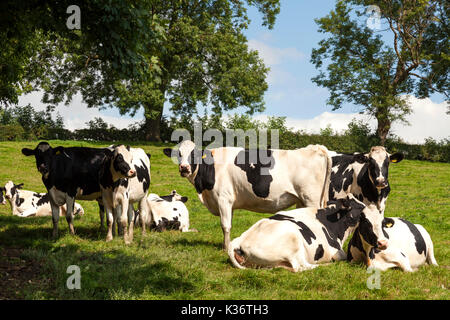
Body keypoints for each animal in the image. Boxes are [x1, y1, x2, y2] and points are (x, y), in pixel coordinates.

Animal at [163, 140, 332, 250]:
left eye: (194, 155)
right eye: (178, 154)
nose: (184, 168)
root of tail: (316, 147)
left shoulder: (223, 199)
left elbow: (225, 225)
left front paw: (226, 249)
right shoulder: (229, 203)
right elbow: (227, 226)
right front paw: (226, 245)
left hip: (311, 199)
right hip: (302, 200)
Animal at [229, 194, 386, 272]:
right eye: (360, 207)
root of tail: (240, 239)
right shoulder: (337, 252)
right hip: (294, 242)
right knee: (301, 267)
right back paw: (327, 265)